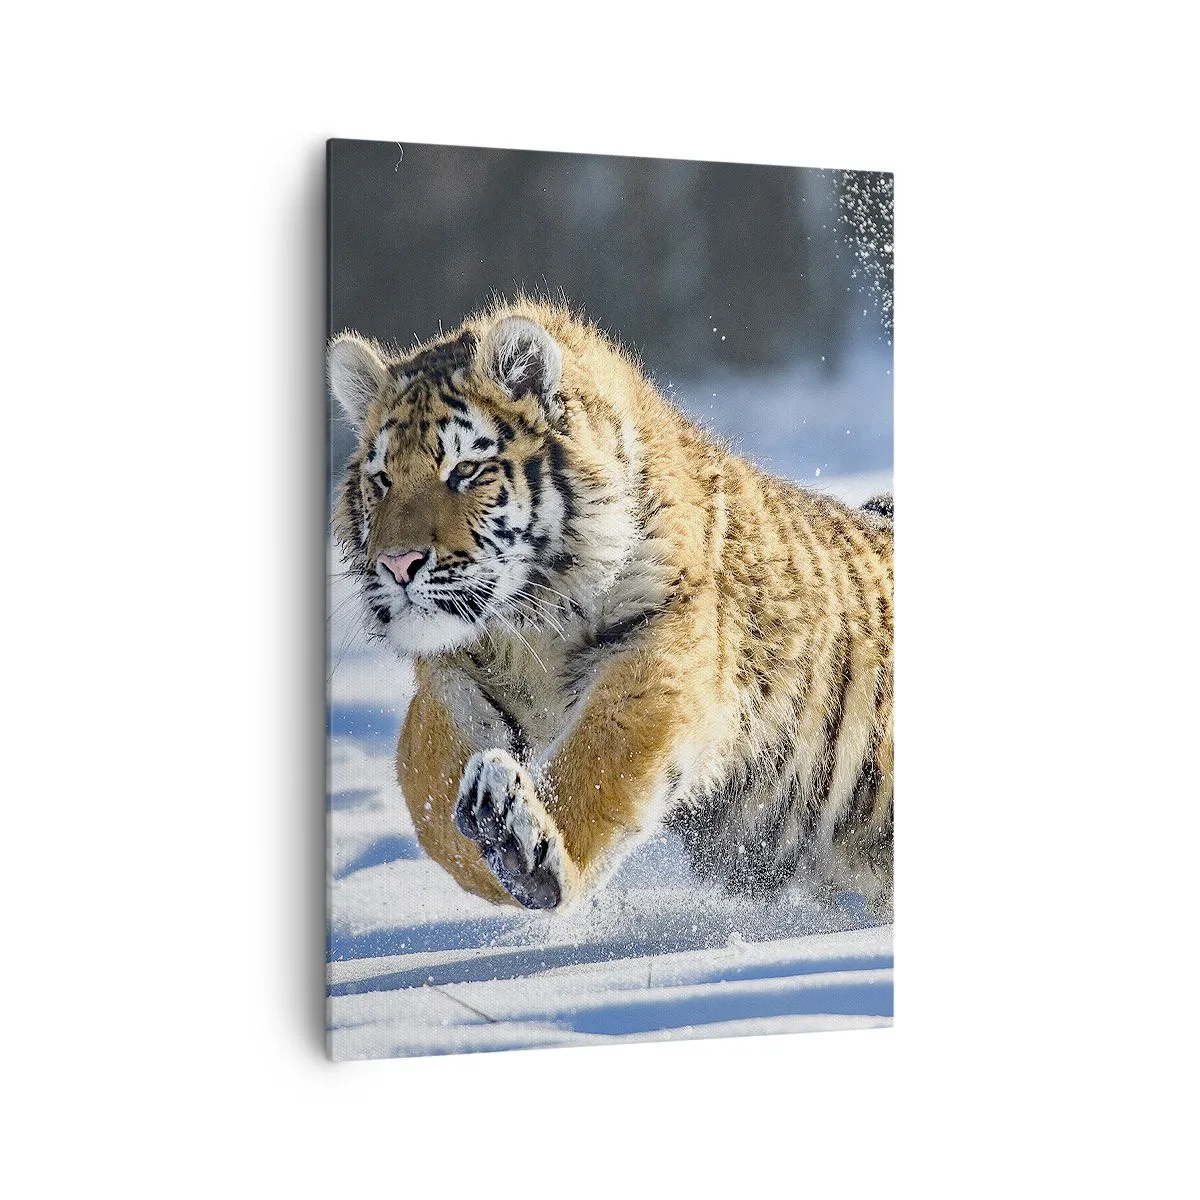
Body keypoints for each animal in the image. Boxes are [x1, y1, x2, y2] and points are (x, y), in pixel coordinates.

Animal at [329, 298, 893, 916]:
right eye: (382, 480)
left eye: (466, 471)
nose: (397, 564)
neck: (526, 621)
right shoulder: (451, 676)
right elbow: (428, 794)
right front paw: (491, 850)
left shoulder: (658, 649)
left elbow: (598, 764)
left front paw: (529, 854)